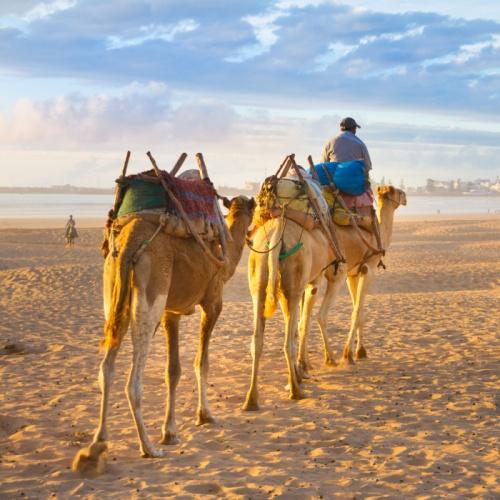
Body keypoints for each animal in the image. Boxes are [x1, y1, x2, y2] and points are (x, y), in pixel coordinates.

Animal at [71, 193, 254, 470]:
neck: (227, 255)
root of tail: (129, 243)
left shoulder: (171, 313)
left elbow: (173, 371)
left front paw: (170, 432)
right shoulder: (213, 302)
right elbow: (202, 362)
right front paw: (205, 415)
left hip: (113, 292)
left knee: (106, 368)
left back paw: (97, 445)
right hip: (151, 291)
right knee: (133, 381)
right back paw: (148, 448)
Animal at [242, 213, 344, 408]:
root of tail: (276, 233)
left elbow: (296, 325)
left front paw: (300, 371)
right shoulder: (314, 281)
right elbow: (303, 323)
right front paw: (303, 369)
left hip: (258, 278)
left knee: (257, 340)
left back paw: (251, 399)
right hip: (295, 277)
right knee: (287, 341)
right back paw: (296, 391)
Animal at [296, 184, 406, 372]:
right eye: (398, 192)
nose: (405, 196)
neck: (379, 235)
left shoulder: (353, 274)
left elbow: (359, 311)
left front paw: (360, 351)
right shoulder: (368, 270)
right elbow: (356, 312)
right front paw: (348, 355)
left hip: (312, 277)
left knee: (303, 318)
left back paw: (304, 363)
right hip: (335, 274)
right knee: (320, 315)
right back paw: (330, 359)